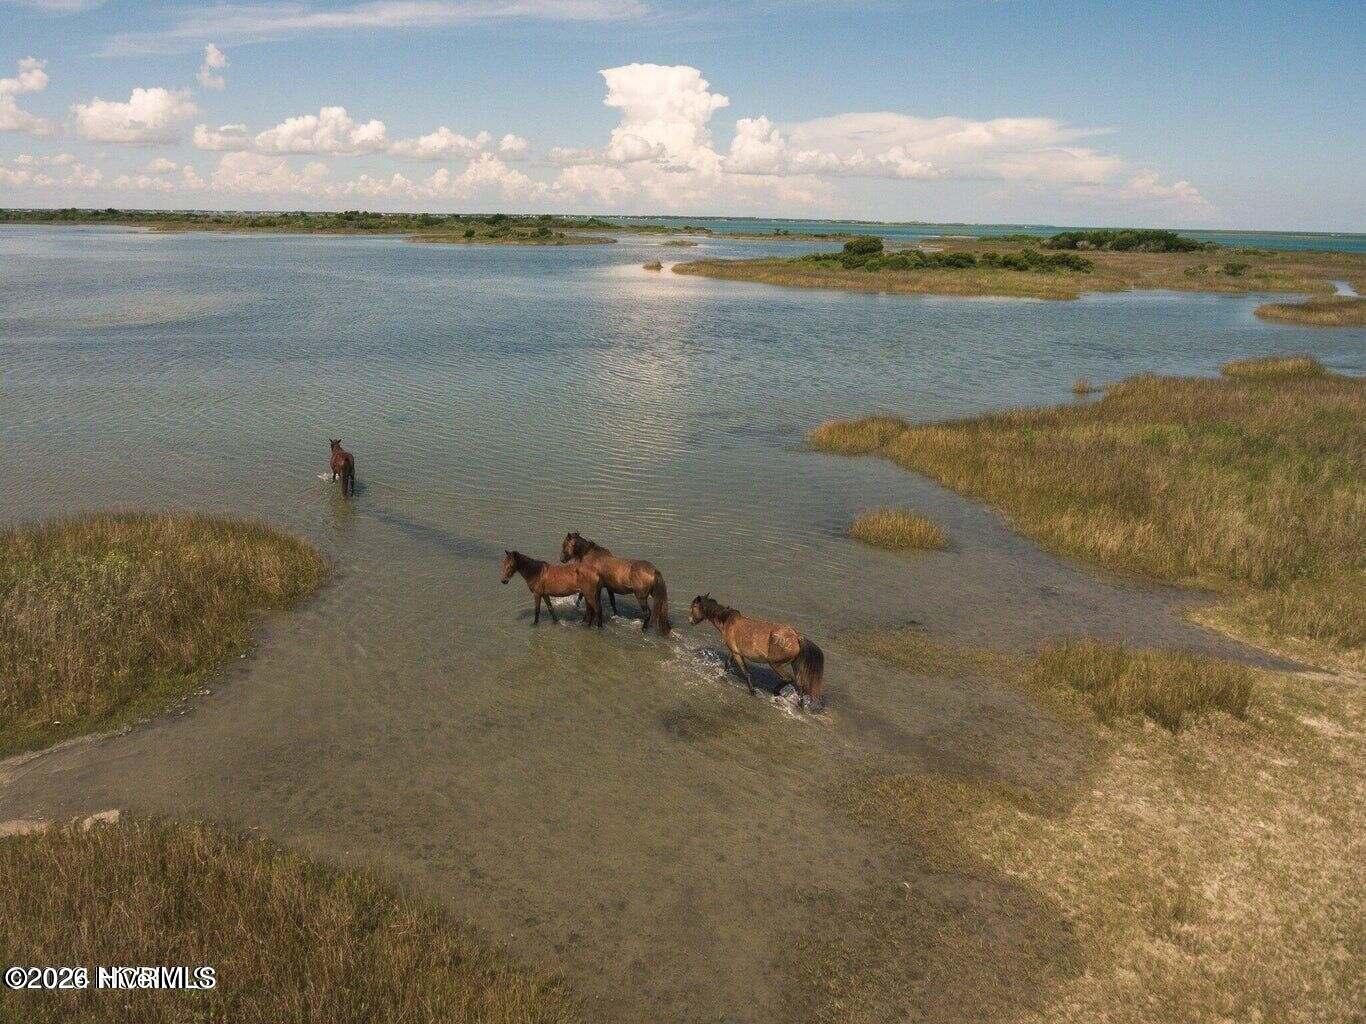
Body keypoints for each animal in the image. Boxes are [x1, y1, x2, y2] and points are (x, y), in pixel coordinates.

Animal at [689, 594, 825, 710]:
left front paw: (752, 691)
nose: (691, 621)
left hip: (775, 664)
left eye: (694, 606)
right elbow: (727, 664)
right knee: (800, 686)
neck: (727, 621)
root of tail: (796, 636)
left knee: (789, 679)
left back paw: (776, 692)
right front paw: (722, 676)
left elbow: (746, 672)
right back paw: (800, 705)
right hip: (795, 666)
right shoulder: (734, 652)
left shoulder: (737, 654)